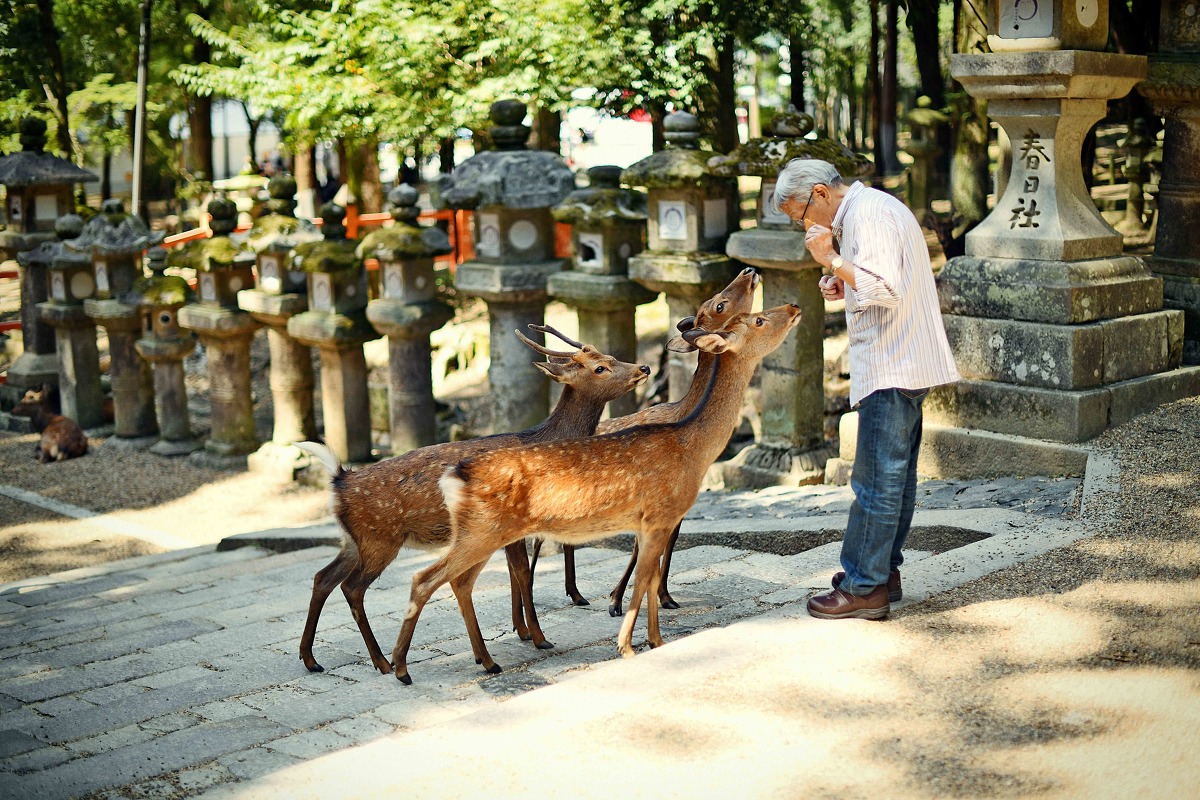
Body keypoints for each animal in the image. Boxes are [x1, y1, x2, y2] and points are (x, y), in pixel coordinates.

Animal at [292, 326, 648, 676]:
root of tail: (339, 480)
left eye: (611, 356)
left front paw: (521, 630)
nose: (643, 368)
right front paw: (538, 637)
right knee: (352, 587)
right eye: (599, 368)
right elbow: (521, 572)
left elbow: (514, 572)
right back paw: (382, 661)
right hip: (380, 539)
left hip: (354, 541)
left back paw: (311, 659)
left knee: (322, 577)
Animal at [391, 303, 806, 686]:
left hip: (484, 533)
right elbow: (643, 580)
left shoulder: (650, 523)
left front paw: (655, 641)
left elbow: (650, 581)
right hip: (483, 532)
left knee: (458, 581)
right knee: (424, 578)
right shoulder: (661, 515)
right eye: (759, 319)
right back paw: (401, 668)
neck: (694, 449)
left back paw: (484, 661)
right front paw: (626, 645)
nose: (794, 306)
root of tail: (454, 476)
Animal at [523, 267, 763, 618]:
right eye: (719, 303)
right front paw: (615, 600)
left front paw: (665, 596)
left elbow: (670, 541)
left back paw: (576, 594)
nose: (748, 270)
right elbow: (641, 546)